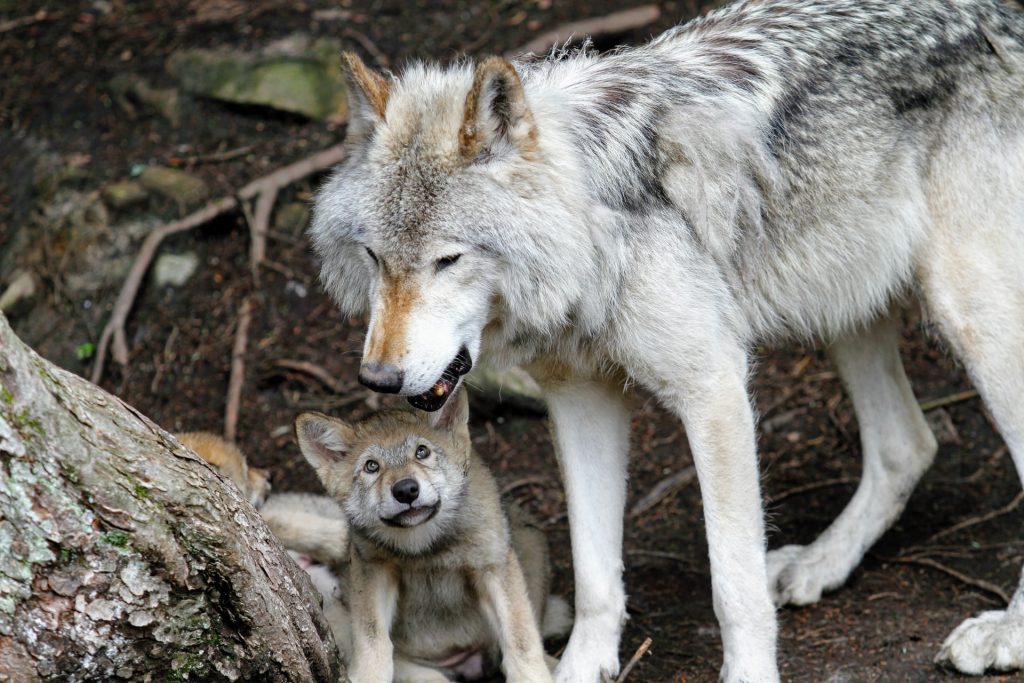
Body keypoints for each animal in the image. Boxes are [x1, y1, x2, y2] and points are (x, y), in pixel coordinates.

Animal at [292, 389, 573, 683]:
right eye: (371, 466)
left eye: (422, 452)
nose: (406, 490)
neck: (425, 546)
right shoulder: (372, 569)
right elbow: (373, 640)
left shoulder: (492, 565)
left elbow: (521, 640)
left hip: (529, 540)